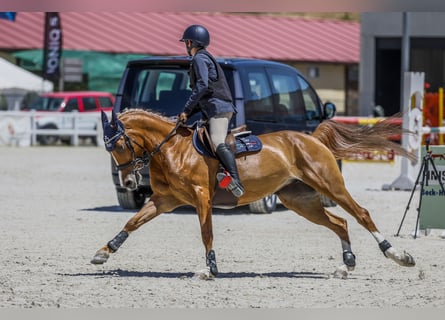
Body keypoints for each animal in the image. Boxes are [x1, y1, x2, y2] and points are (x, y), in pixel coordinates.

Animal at [91, 109, 416, 278]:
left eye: (118, 144)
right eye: (107, 147)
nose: (129, 181)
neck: (173, 148)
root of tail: (311, 139)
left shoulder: (201, 197)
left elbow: (206, 233)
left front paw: (209, 269)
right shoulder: (165, 200)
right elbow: (133, 222)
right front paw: (104, 252)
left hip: (330, 186)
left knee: (361, 215)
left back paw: (398, 255)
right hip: (299, 200)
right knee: (340, 223)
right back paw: (346, 264)